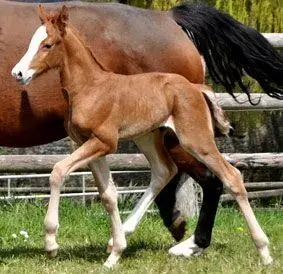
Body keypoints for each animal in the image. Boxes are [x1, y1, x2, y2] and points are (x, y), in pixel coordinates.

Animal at [1, 0, 283, 260]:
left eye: (47, 44)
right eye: (30, 42)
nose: (18, 73)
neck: (91, 86)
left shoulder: (102, 142)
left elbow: (58, 171)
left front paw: (51, 242)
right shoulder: (90, 144)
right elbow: (108, 194)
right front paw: (115, 249)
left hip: (190, 139)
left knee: (224, 177)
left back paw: (252, 250)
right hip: (149, 136)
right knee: (166, 171)